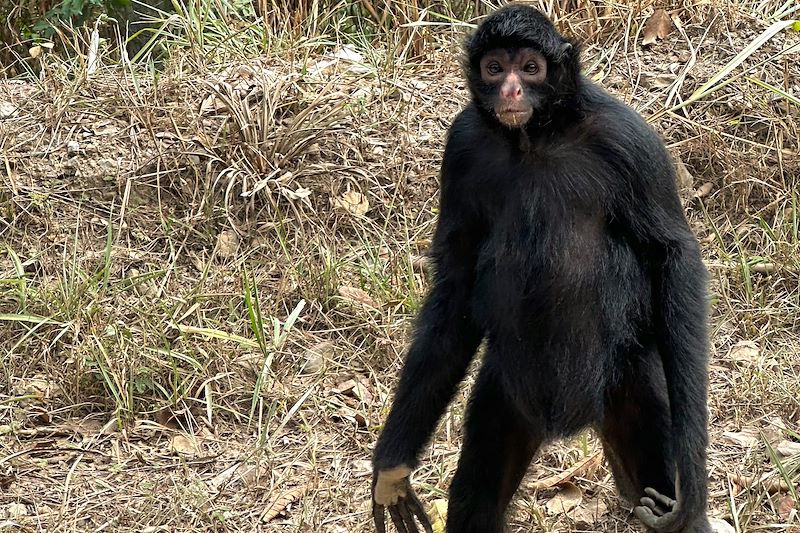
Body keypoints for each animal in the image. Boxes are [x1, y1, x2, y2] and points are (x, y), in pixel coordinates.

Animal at [372, 5, 708, 532]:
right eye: (495, 68)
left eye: (530, 68)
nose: (511, 91)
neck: (537, 139)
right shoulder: (463, 144)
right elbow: (457, 281)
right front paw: (391, 470)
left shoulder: (627, 137)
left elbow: (674, 255)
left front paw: (692, 477)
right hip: (506, 393)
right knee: (477, 498)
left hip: (630, 376)